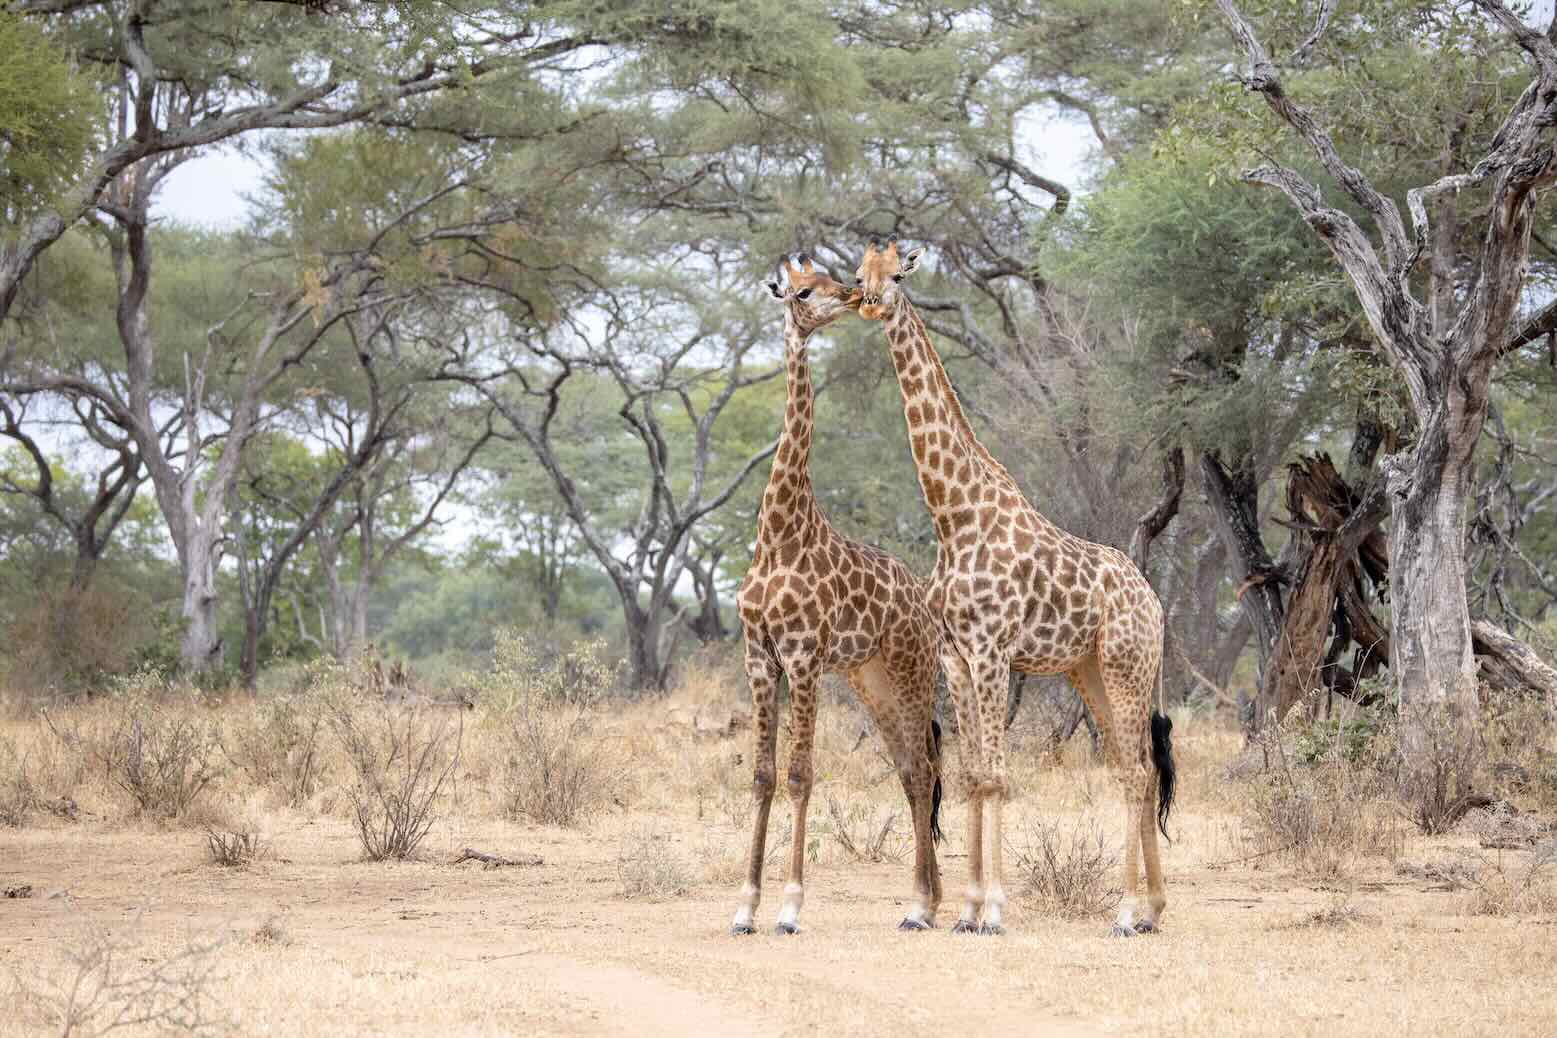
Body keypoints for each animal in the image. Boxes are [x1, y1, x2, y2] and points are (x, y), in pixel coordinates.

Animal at [730, 254, 945, 936]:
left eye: (829, 279)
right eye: (802, 290)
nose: (852, 296)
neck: (779, 533)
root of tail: (922, 600)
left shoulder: (802, 657)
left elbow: (801, 774)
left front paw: (790, 907)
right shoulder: (759, 657)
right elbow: (763, 776)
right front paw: (744, 907)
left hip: (911, 670)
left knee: (925, 769)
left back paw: (920, 906)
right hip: (868, 679)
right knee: (910, 770)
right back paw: (929, 900)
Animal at [852, 239, 1177, 937]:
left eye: (898, 275)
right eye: (858, 273)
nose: (868, 301)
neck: (953, 514)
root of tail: (1155, 602)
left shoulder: (992, 651)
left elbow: (998, 777)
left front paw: (994, 911)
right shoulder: (957, 657)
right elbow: (974, 774)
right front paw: (967, 911)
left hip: (1126, 665)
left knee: (1139, 771)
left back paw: (1126, 913)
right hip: (1090, 671)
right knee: (1129, 767)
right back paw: (1151, 910)